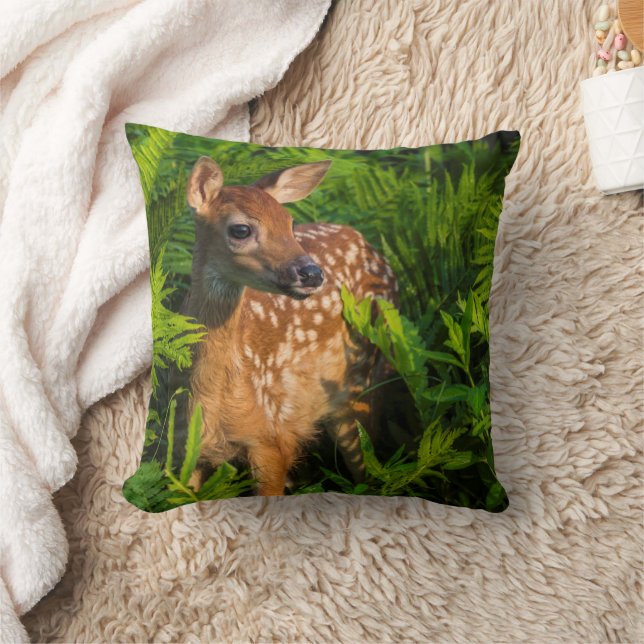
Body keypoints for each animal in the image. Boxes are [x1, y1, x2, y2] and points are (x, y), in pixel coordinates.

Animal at [183, 155, 398, 496]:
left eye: (289, 223)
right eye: (241, 229)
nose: (312, 273)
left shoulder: (271, 438)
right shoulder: (189, 454)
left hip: (362, 384)